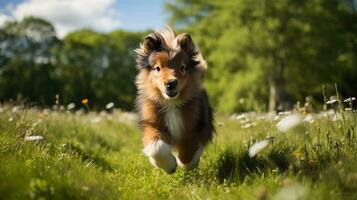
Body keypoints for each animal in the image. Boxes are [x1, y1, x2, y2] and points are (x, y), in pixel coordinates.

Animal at [133, 27, 211, 173]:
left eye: (182, 67)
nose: (171, 83)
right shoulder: (152, 123)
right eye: (157, 68)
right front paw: (169, 166)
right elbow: (157, 148)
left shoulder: (195, 124)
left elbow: (188, 152)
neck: (171, 104)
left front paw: (185, 164)